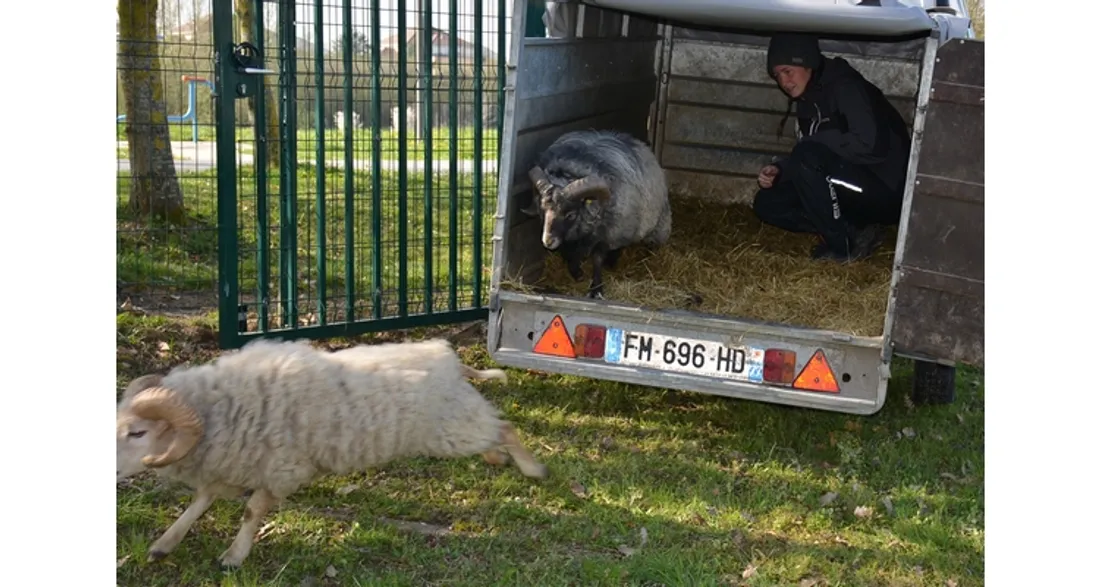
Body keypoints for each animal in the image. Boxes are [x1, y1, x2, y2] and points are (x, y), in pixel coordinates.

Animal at [116, 338, 547, 568]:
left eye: (139, 432)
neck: (222, 409)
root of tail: (450, 359)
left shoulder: (281, 468)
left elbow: (251, 512)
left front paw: (234, 556)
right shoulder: (229, 462)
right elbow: (198, 503)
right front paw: (165, 543)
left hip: (453, 428)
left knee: (504, 428)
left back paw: (532, 469)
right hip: (457, 425)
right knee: (493, 433)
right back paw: (497, 459)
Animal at [521, 128, 672, 298]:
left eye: (571, 215)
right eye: (542, 210)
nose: (548, 241)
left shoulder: (606, 234)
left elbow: (597, 259)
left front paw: (596, 289)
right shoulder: (568, 238)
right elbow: (567, 254)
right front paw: (577, 273)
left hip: (651, 226)